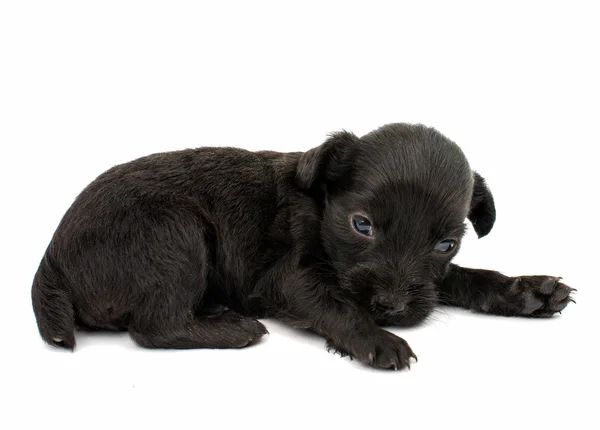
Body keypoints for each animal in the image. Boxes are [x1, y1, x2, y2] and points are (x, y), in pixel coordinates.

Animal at [30, 123, 576, 370]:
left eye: (446, 242)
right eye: (361, 225)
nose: (390, 307)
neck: (320, 206)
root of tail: (51, 257)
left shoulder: (432, 277)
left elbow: (460, 279)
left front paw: (526, 290)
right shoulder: (289, 280)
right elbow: (336, 304)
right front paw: (376, 339)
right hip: (175, 232)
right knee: (154, 326)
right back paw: (235, 327)